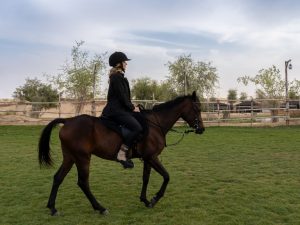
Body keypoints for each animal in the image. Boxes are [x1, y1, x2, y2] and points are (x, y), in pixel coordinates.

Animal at [38, 91, 205, 216]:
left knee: (58, 178)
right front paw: (155, 198)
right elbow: (166, 176)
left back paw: (52, 208)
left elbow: (146, 178)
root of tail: (68, 121)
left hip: (70, 157)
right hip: (82, 158)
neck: (155, 124)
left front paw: (145, 200)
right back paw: (100, 208)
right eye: (197, 109)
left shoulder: (147, 158)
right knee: (83, 182)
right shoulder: (152, 157)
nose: (202, 129)